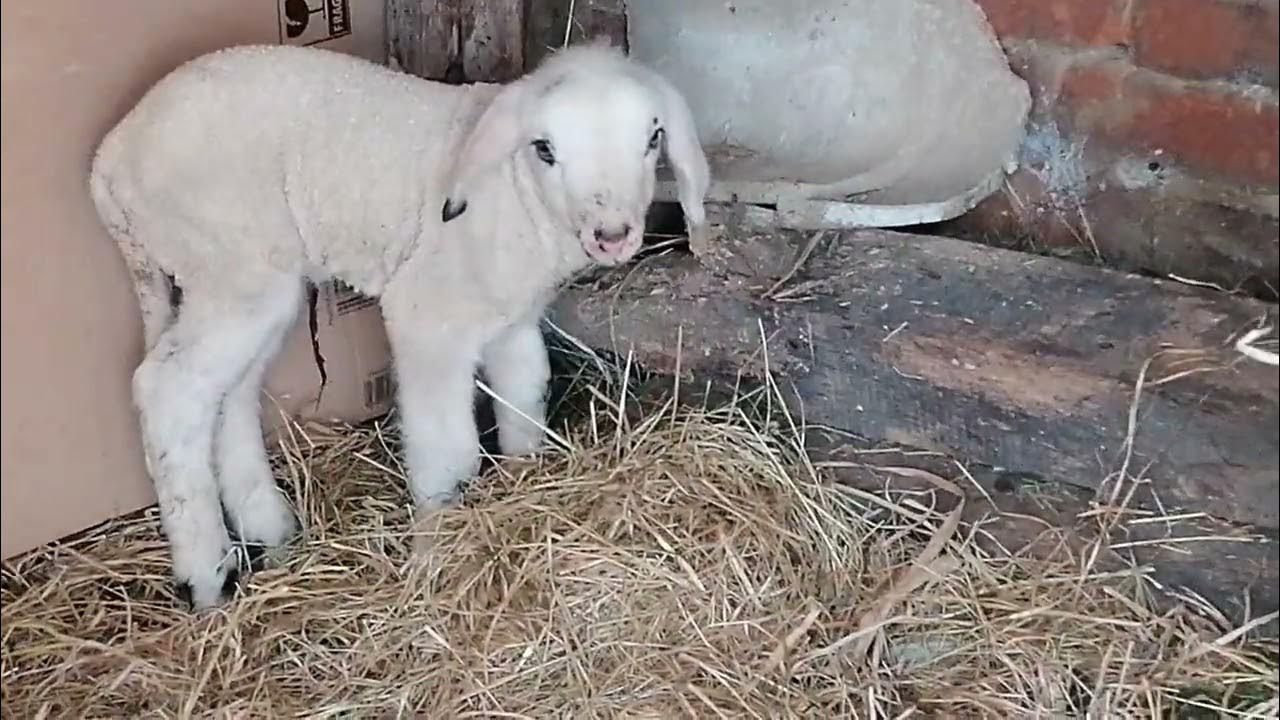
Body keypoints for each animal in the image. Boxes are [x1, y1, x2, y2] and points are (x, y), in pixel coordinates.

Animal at [88, 41, 711, 610]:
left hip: (240, 280)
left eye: (653, 137)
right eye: (544, 149)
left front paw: (525, 482)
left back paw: (272, 534)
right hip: (230, 263)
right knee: (168, 389)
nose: (613, 235)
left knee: (225, 396)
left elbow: (525, 404)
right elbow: (448, 450)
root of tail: (110, 158)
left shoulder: (513, 324)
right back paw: (207, 576)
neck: (514, 201)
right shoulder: (427, 319)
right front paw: (439, 550)